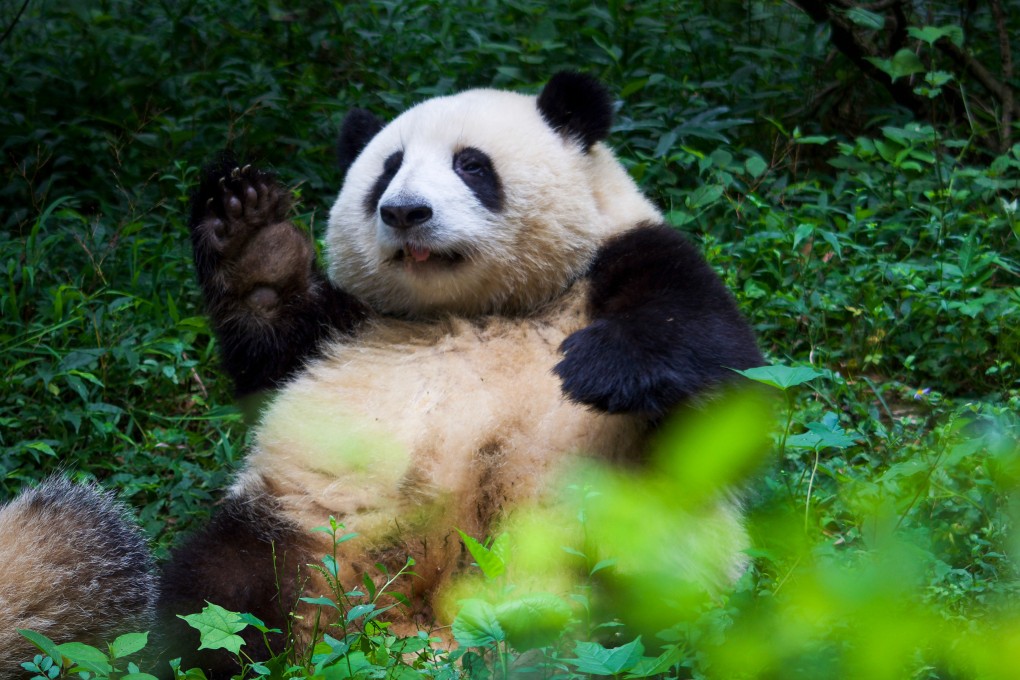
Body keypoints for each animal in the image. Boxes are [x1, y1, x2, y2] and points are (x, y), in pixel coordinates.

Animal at [156, 72, 765, 673]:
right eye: (388, 169)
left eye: (471, 164)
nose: (405, 212)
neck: (476, 309)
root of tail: (418, 635)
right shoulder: (344, 328)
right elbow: (268, 355)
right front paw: (254, 241)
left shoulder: (626, 256)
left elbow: (718, 360)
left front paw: (599, 370)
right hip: (299, 527)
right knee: (213, 601)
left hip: (632, 549)